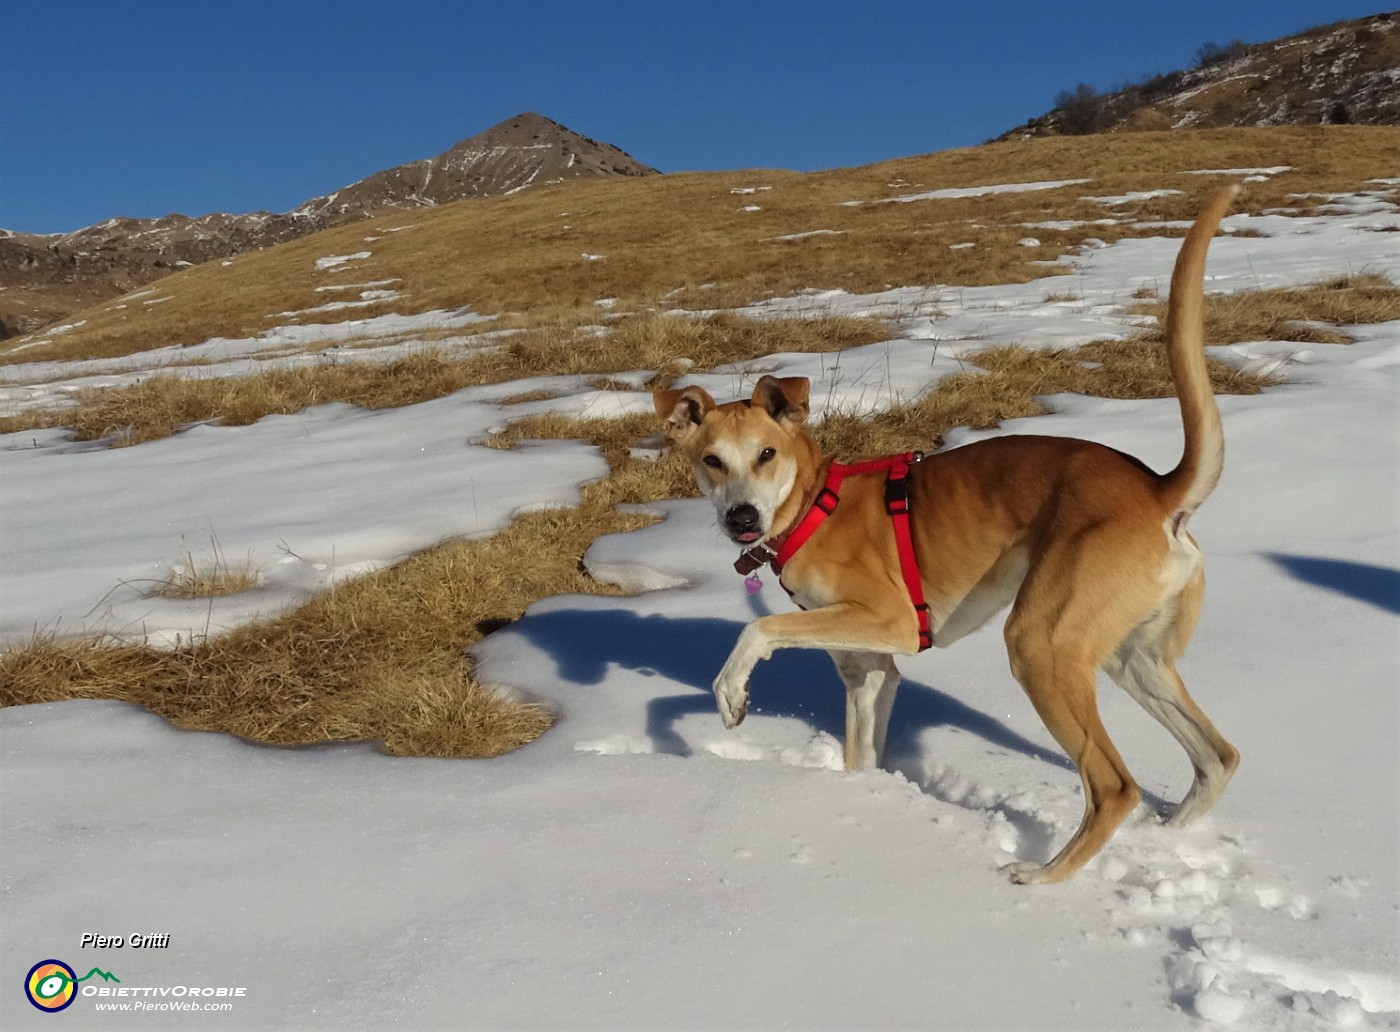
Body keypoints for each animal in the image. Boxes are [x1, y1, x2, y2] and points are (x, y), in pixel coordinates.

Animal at [649, 184, 1243, 879]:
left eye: (766, 455)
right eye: (711, 460)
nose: (741, 519)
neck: (815, 504)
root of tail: (1156, 489)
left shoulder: (891, 622)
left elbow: (758, 629)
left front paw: (731, 692)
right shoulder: (868, 672)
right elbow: (860, 756)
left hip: (1040, 646)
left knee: (1114, 786)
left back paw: (1044, 878)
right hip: (1134, 657)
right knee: (1217, 757)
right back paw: (1171, 834)